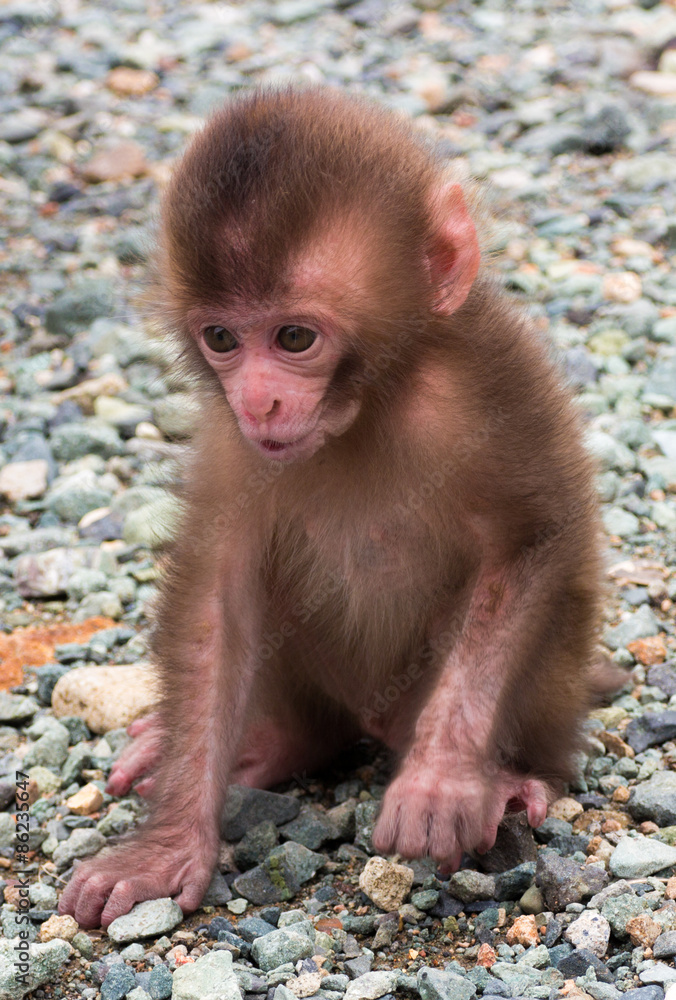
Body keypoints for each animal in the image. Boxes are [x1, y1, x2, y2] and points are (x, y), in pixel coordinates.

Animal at [60, 86, 604, 928]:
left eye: (293, 337)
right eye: (222, 338)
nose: (259, 399)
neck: (370, 404)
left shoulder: (491, 384)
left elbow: (533, 539)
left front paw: (445, 775)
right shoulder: (233, 441)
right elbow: (219, 594)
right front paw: (167, 844)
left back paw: (516, 776)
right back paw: (276, 743)